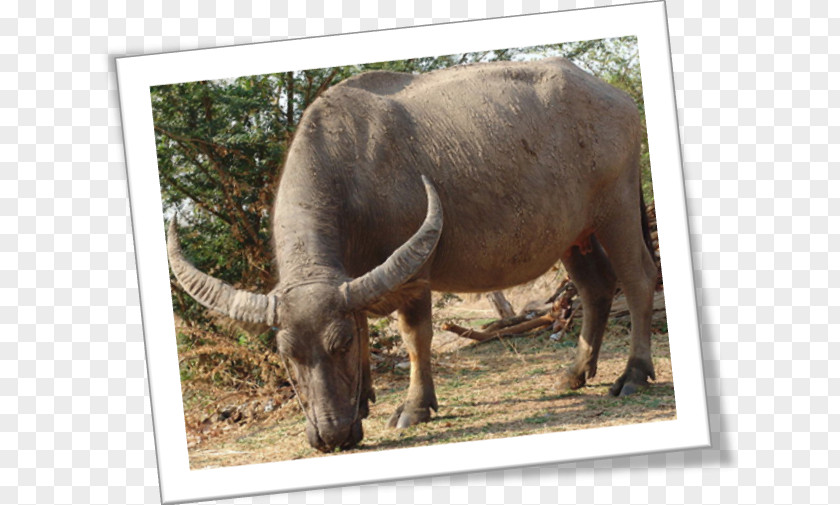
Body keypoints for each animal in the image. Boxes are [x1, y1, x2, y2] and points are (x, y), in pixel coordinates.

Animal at [167, 57, 660, 450]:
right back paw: (575, 372)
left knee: (638, 279)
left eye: (339, 346)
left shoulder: (414, 273)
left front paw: (414, 407)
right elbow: (365, 323)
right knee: (596, 288)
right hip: (574, 234)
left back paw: (633, 374)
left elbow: (414, 337)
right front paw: (364, 400)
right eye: (288, 355)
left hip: (616, 211)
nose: (331, 436)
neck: (353, 171)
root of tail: (616, 97)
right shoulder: (354, 278)